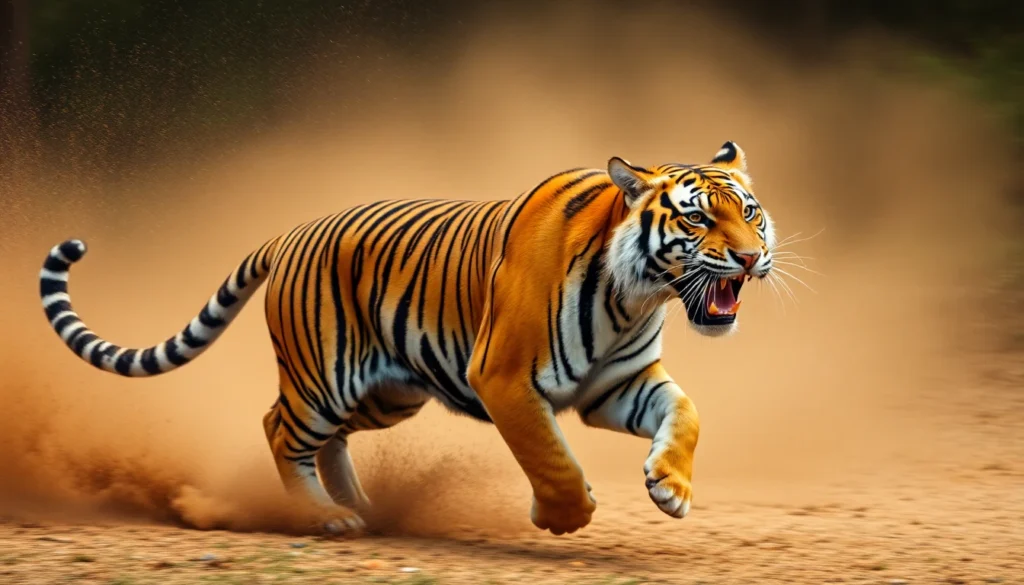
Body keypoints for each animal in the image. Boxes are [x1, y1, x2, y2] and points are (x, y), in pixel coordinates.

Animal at [39, 141, 774, 536]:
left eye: (750, 212)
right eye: (699, 218)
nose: (750, 258)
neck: (636, 296)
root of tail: (289, 233)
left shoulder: (619, 384)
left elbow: (686, 412)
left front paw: (670, 487)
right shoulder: (503, 377)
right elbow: (548, 455)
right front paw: (562, 515)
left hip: (385, 393)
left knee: (327, 440)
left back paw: (360, 507)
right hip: (323, 377)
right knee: (278, 426)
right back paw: (324, 516)